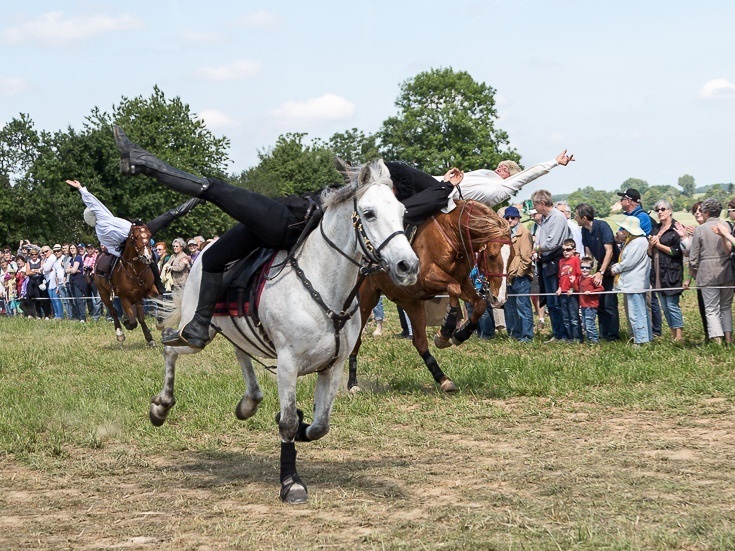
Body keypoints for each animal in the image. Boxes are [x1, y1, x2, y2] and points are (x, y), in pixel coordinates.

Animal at [350, 201, 512, 394]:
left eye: (512, 256)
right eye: (492, 256)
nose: (499, 299)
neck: (451, 232)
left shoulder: (463, 281)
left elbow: (478, 303)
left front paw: (460, 334)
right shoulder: (427, 277)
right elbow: (453, 289)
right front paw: (445, 330)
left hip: (411, 303)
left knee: (419, 342)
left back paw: (443, 379)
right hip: (366, 299)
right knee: (356, 338)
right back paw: (352, 383)